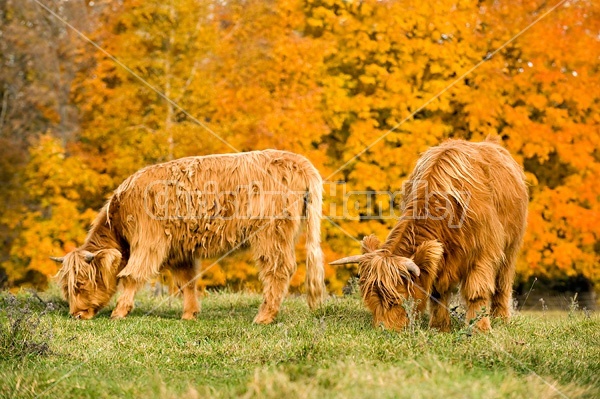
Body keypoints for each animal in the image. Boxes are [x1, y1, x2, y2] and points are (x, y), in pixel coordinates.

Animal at [51, 151, 324, 324]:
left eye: (80, 284)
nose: (76, 314)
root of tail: (296, 160)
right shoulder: (179, 251)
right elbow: (187, 282)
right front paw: (189, 314)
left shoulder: (149, 242)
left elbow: (130, 275)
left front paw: (119, 312)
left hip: (271, 233)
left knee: (278, 270)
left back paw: (263, 317)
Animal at [330, 139, 528, 332]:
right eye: (371, 299)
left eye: (398, 298)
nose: (384, 329)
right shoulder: (440, 259)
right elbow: (437, 293)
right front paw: (439, 327)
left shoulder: (483, 253)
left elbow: (477, 292)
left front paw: (480, 329)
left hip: (511, 247)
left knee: (503, 283)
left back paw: (501, 319)